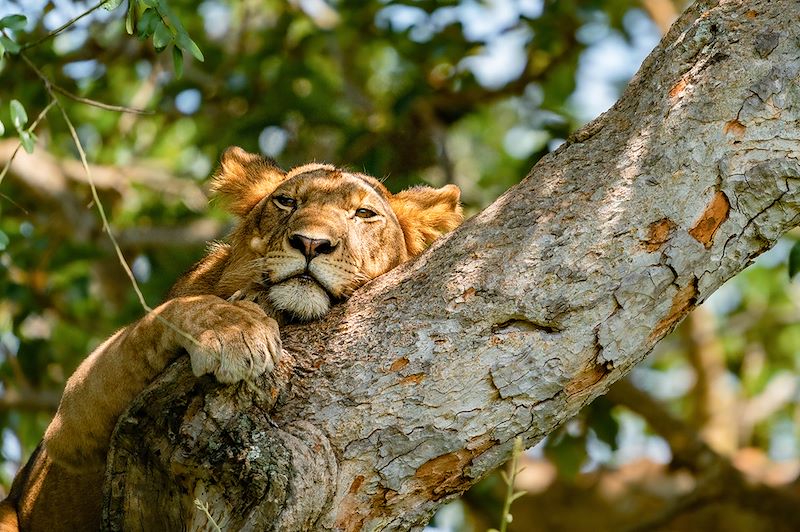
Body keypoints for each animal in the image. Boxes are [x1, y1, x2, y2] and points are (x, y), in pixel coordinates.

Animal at [0, 147, 462, 532]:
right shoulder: (68, 425)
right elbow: (164, 316)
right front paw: (234, 329)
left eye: (364, 213)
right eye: (287, 202)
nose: (311, 243)